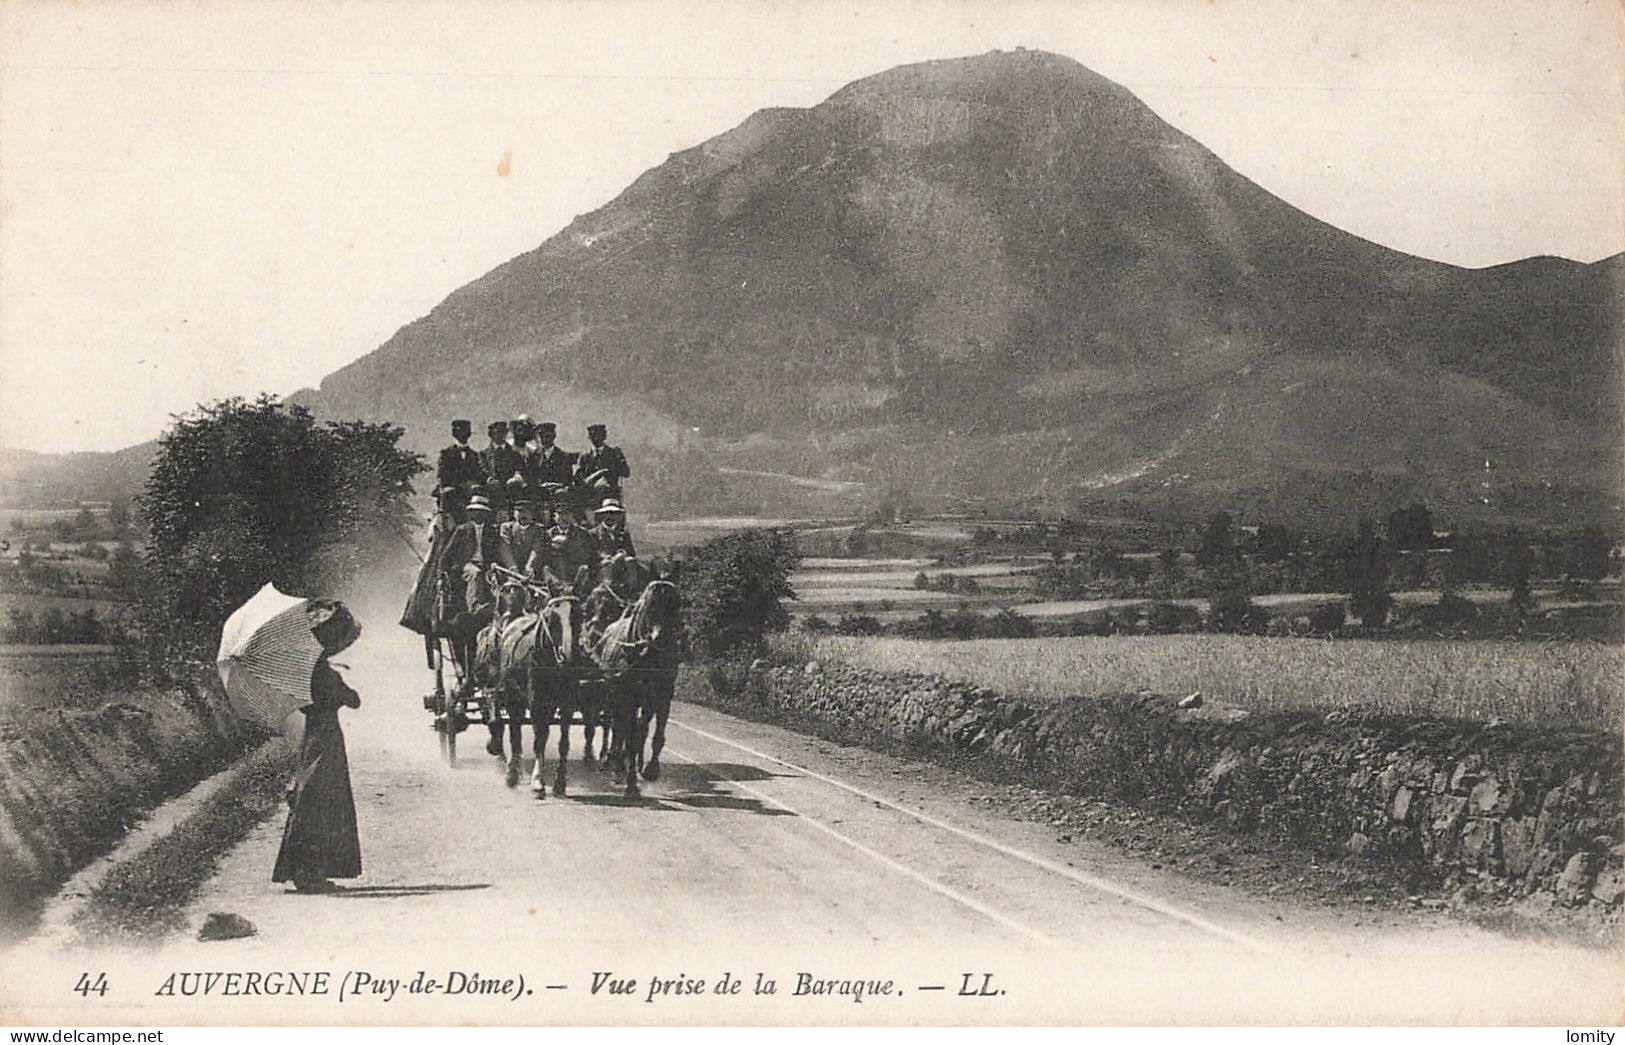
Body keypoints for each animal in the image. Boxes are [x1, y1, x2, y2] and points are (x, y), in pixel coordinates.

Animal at [591, 575, 679, 796]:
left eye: (676, 604)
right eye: (650, 604)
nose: (661, 638)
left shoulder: (662, 697)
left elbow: (653, 735)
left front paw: (650, 770)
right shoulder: (627, 697)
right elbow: (629, 737)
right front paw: (630, 782)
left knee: (631, 728)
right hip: (611, 694)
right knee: (612, 725)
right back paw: (609, 759)